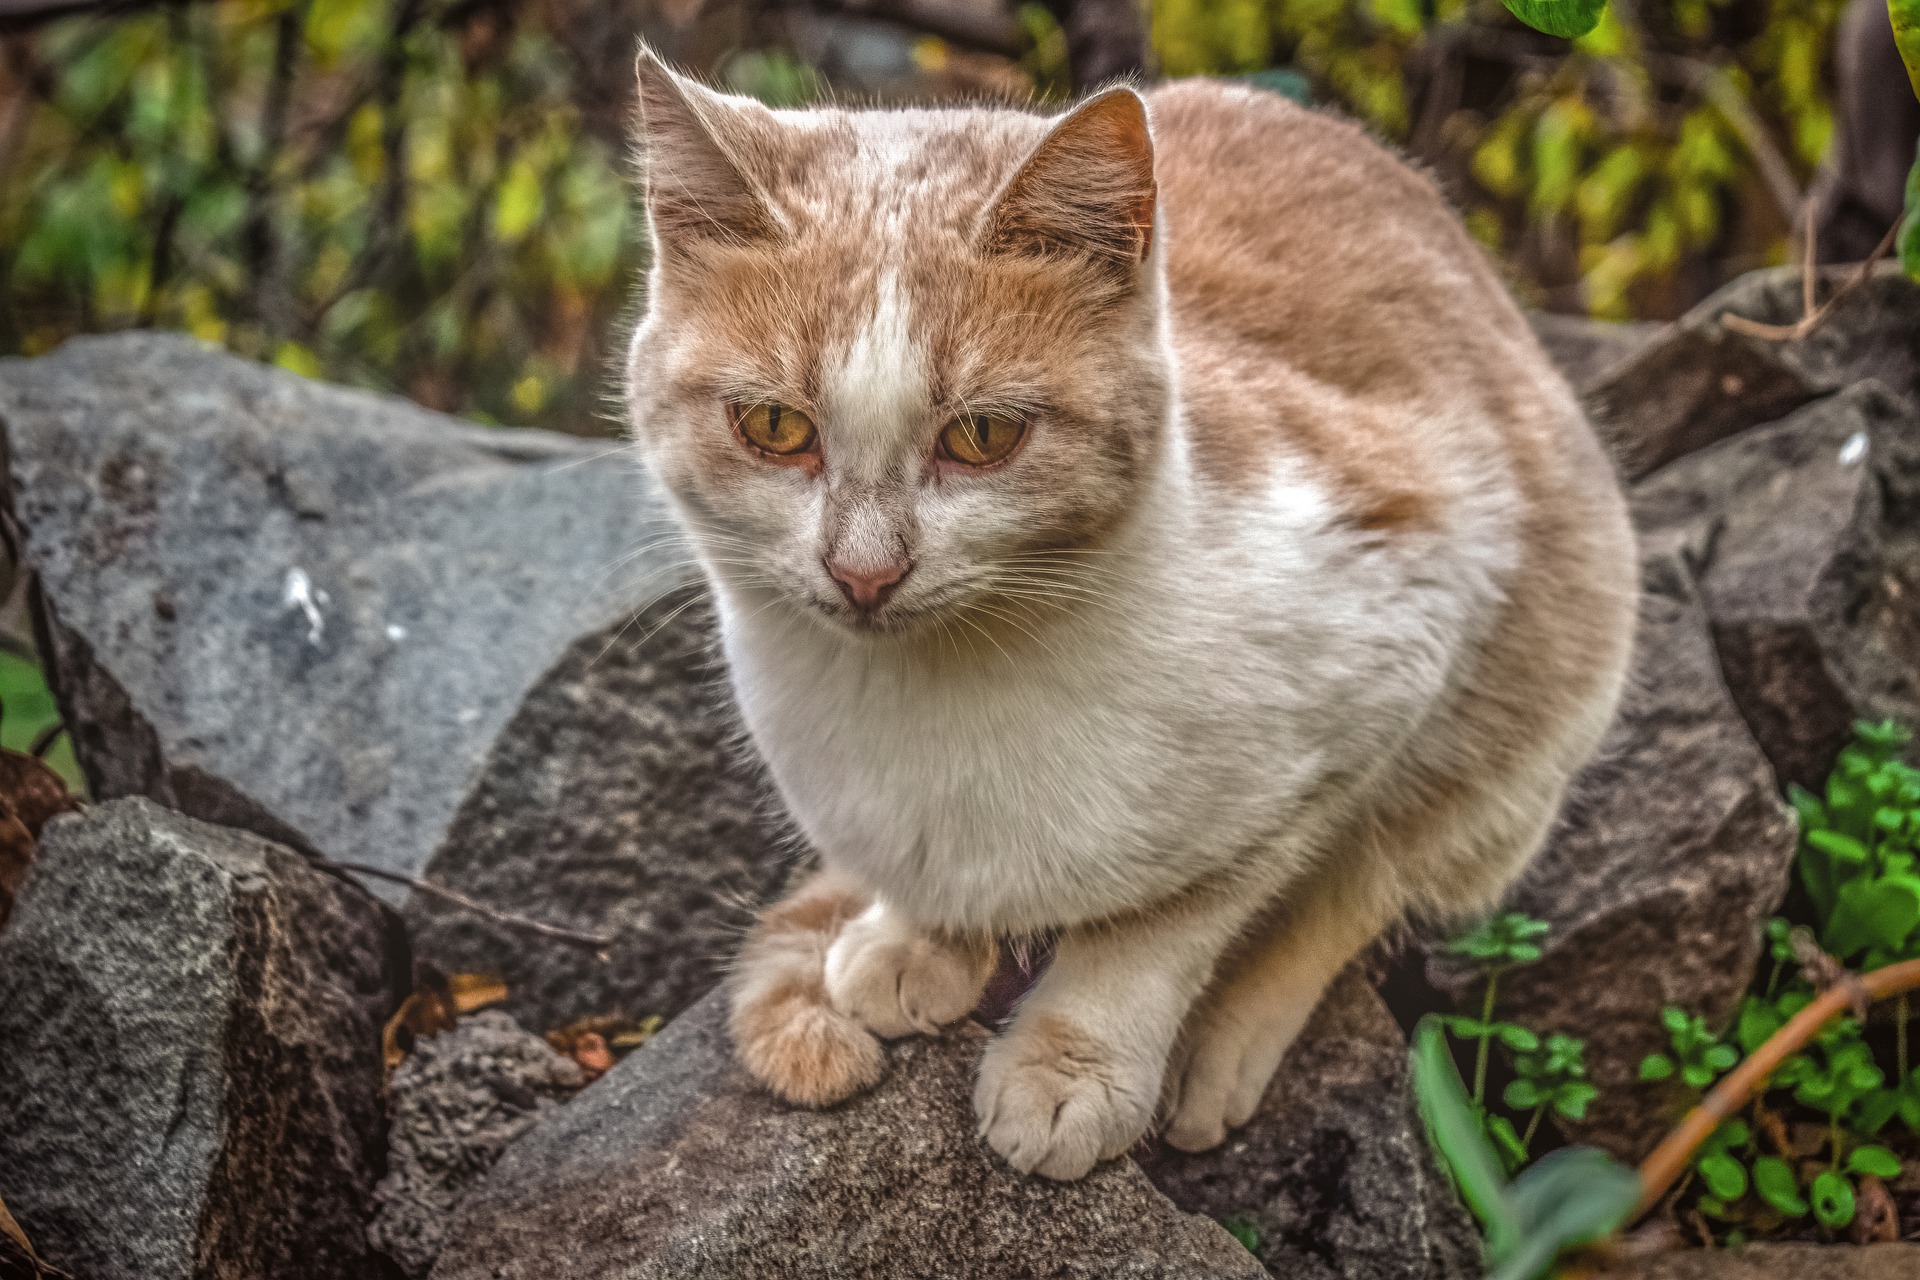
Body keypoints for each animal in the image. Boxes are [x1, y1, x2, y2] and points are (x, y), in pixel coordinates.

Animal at [625, 55, 1635, 1189]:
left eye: (983, 435)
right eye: (774, 426)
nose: (865, 572)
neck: (945, 700)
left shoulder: (1393, 639)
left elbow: (1168, 925)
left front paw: (1074, 1064)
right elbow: (930, 880)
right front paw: (918, 940)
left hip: (1524, 723)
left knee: (1365, 881)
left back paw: (1222, 1050)